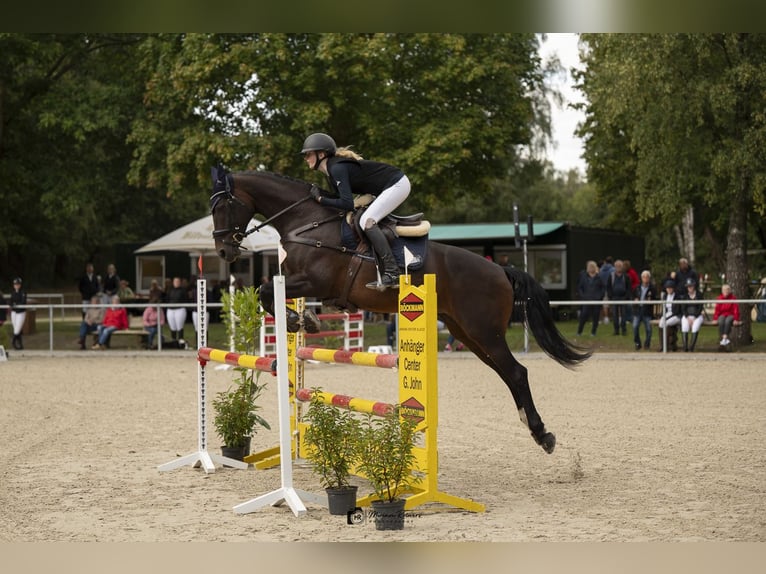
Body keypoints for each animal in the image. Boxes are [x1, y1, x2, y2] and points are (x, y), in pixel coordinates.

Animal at [210, 166, 592, 454]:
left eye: (222, 207)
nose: (225, 252)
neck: (308, 222)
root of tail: (501, 269)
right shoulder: (297, 280)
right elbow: (269, 293)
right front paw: (304, 319)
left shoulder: (315, 282)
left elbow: (265, 291)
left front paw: (298, 319)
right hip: (467, 333)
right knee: (506, 373)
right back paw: (533, 427)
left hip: (484, 331)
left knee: (516, 372)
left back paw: (543, 435)